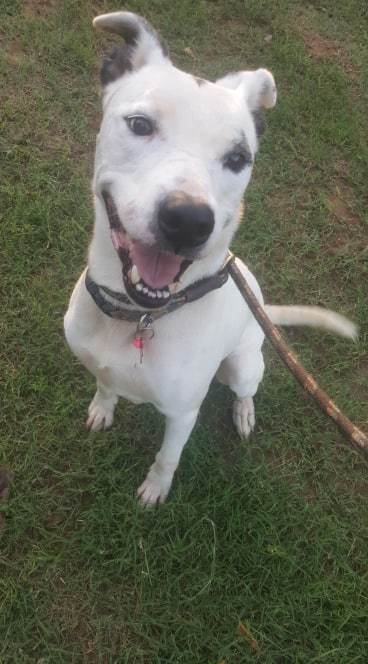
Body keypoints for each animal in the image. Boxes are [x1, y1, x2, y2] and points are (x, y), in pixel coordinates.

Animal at [64, 10, 356, 506]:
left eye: (238, 157)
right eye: (140, 124)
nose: (188, 221)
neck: (138, 317)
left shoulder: (184, 413)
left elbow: (168, 457)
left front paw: (155, 490)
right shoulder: (101, 364)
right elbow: (105, 385)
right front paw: (102, 408)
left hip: (242, 364)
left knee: (245, 388)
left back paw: (244, 412)